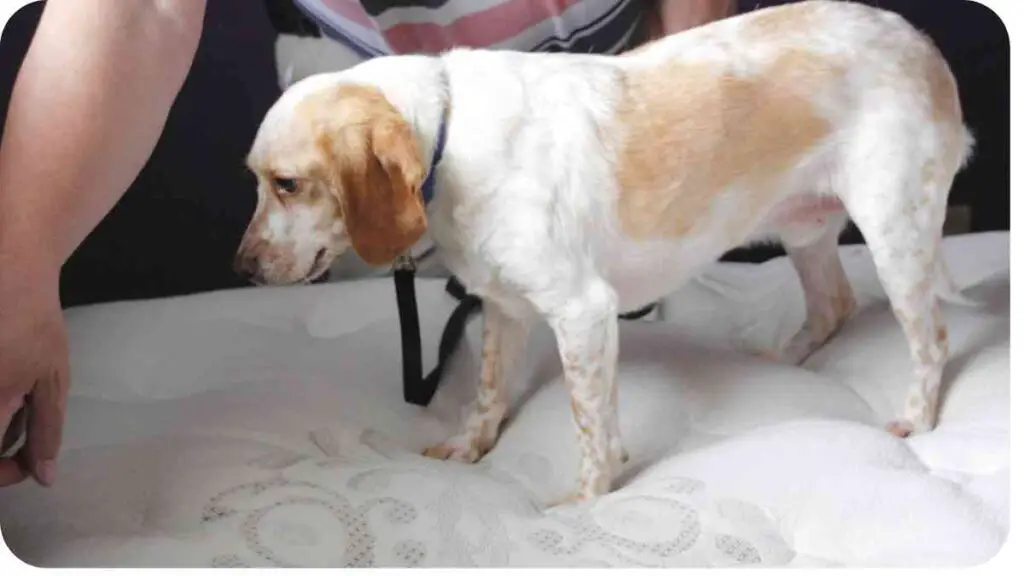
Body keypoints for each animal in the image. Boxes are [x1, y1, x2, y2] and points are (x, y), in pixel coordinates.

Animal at [234, 0, 974, 500]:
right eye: (260, 181)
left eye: (286, 183)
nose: (241, 267)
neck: (448, 131)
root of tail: (921, 42)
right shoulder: (503, 310)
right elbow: (486, 395)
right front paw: (469, 448)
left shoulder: (584, 314)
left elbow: (590, 427)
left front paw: (583, 503)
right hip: (806, 232)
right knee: (834, 305)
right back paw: (781, 361)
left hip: (895, 232)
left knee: (931, 339)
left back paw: (914, 418)